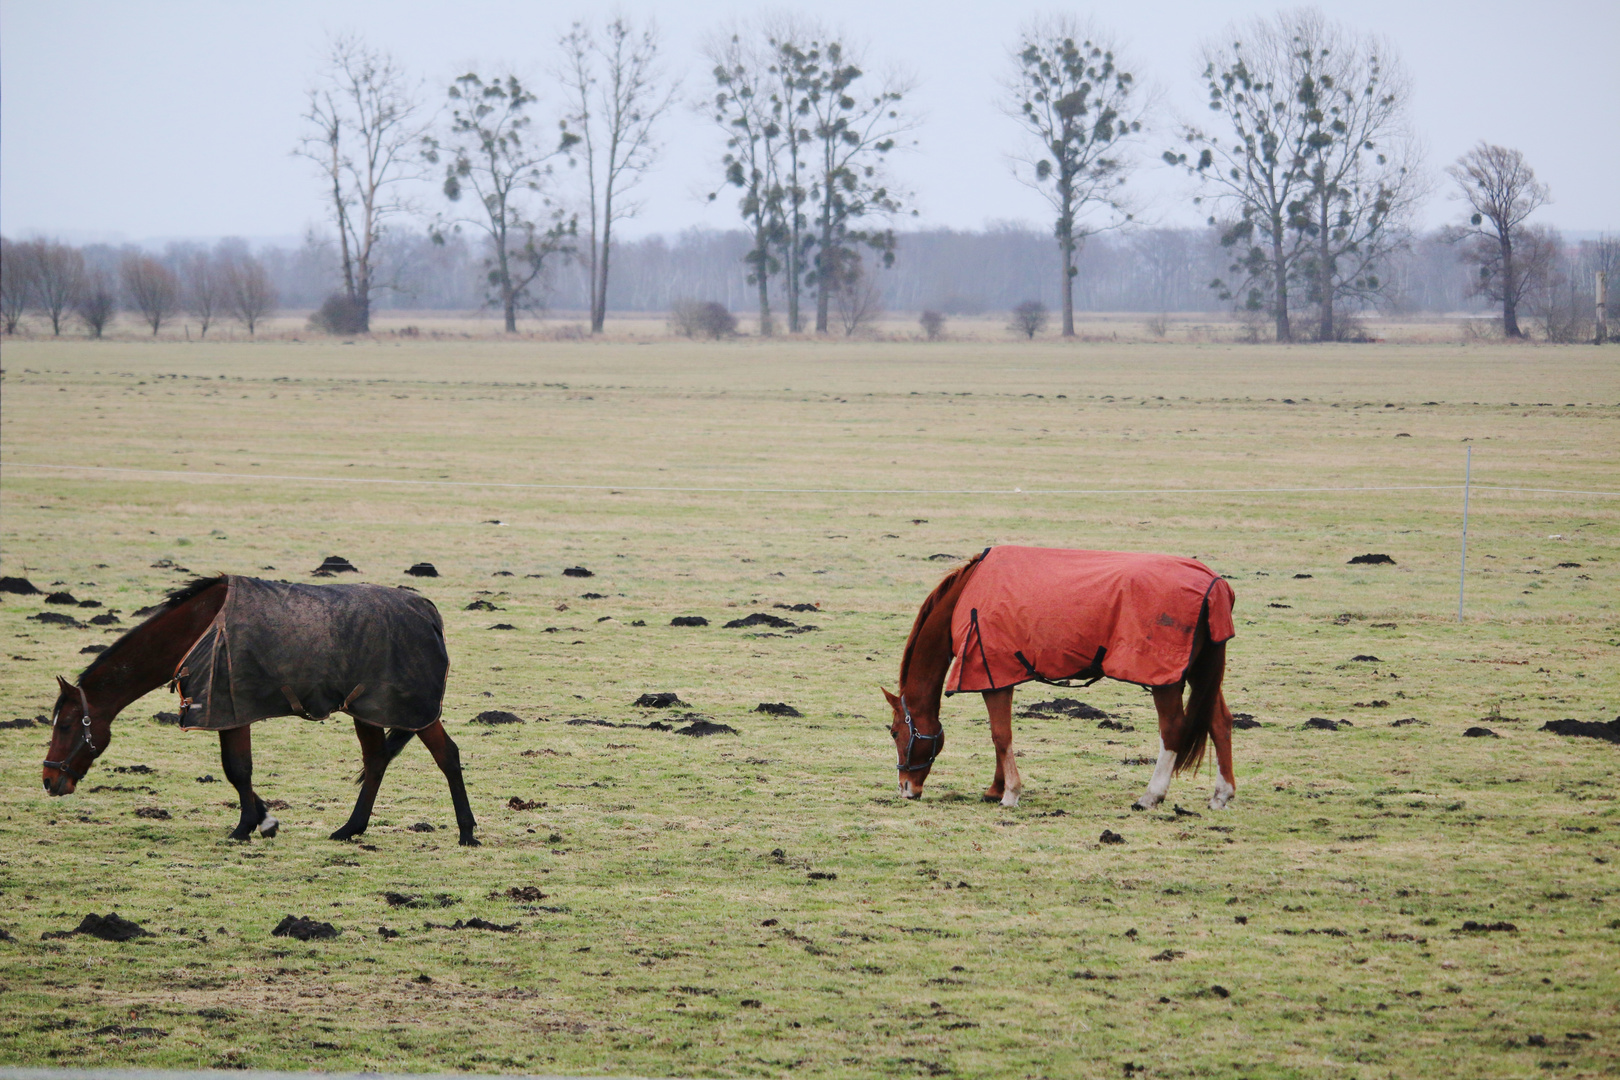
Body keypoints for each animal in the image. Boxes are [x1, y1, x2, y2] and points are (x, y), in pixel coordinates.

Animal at [41, 579, 476, 848]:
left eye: (67, 725)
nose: (49, 781)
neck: (199, 630)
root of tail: (429, 612)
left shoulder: (230, 708)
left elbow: (237, 770)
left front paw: (246, 827)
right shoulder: (227, 712)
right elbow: (237, 769)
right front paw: (262, 821)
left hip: (409, 711)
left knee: (446, 756)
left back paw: (467, 832)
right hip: (367, 710)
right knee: (377, 761)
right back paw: (351, 828)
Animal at [887, 550, 1237, 809]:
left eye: (894, 732)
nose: (906, 787)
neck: (968, 593)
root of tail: (1214, 585)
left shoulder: (993, 677)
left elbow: (1001, 736)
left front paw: (1010, 793)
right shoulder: (999, 678)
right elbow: (999, 736)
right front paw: (995, 789)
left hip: (1167, 680)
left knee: (1173, 729)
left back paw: (1151, 796)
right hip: (1200, 674)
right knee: (1220, 721)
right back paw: (1221, 794)